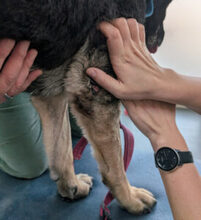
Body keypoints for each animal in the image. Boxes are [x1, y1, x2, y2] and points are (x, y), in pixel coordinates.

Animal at [0, 0, 171, 216]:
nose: (161, 38)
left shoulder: (53, 93)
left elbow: (62, 149)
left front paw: (71, 186)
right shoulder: (95, 93)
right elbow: (115, 166)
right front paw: (129, 199)